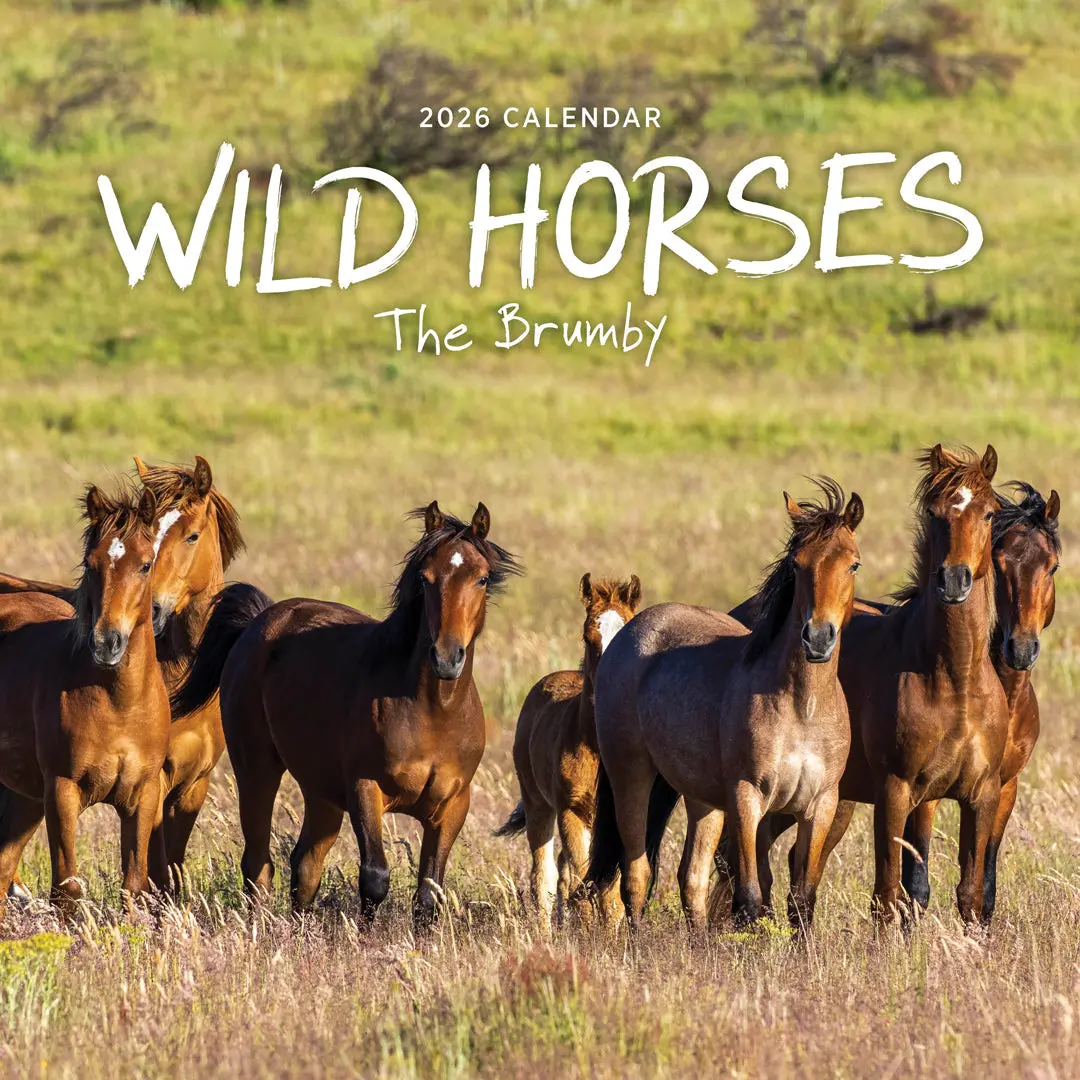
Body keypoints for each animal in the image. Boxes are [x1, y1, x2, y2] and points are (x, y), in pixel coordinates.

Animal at [0, 484, 171, 914]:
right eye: (91, 565)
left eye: (146, 565)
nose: (107, 642)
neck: (119, 704)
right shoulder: (62, 792)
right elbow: (68, 890)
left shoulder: (143, 796)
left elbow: (134, 887)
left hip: (24, 797)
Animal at [172, 501, 521, 926]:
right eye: (425, 579)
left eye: (482, 579)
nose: (446, 657)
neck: (432, 712)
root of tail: (259, 621)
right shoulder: (364, 789)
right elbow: (375, 877)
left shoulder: (453, 806)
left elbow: (428, 894)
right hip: (257, 769)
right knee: (258, 864)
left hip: (319, 792)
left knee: (305, 865)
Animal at [495, 573, 641, 930]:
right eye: (588, 637)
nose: (607, 693)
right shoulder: (570, 810)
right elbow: (583, 880)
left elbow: (610, 890)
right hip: (538, 804)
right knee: (545, 876)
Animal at [586, 480, 863, 931]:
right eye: (797, 564)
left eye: (853, 564)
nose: (818, 638)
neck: (802, 707)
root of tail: (630, 633)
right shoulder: (746, 800)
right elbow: (749, 897)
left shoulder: (820, 806)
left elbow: (801, 900)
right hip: (632, 776)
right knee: (636, 874)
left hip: (702, 798)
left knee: (691, 878)